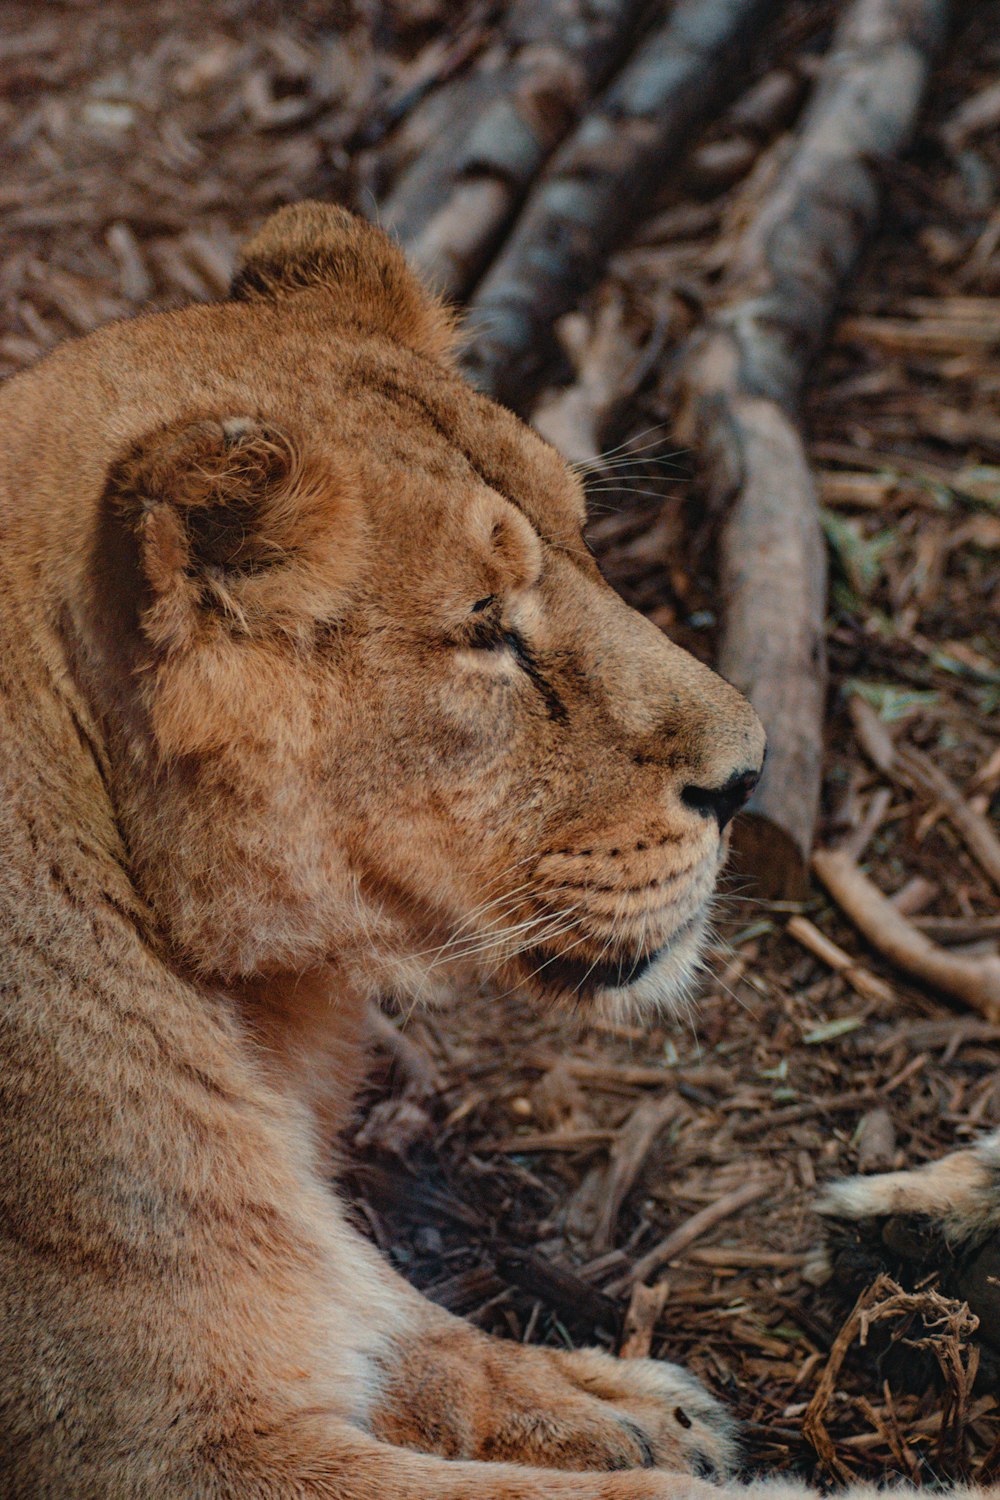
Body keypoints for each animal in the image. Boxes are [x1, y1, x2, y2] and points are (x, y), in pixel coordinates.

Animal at [0, 202, 995, 1500]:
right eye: (485, 632)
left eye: (583, 537)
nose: (751, 773)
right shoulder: (148, 1446)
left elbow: (409, 1324)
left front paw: (619, 1405)